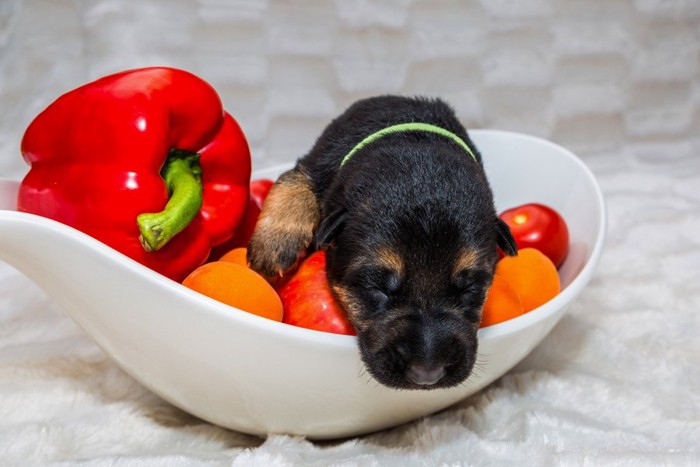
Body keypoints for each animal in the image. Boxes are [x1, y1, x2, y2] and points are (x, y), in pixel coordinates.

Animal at [246, 96, 516, 392]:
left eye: (470, 288)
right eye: (377, 287)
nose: (427, 376)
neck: (412, 140)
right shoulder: (316, 164)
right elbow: (293, 182)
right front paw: (274, 245)